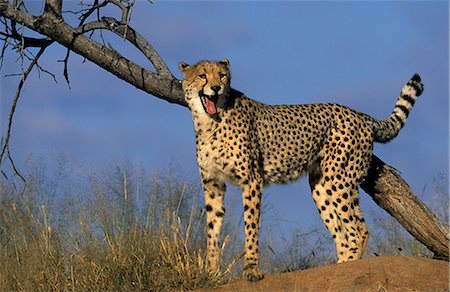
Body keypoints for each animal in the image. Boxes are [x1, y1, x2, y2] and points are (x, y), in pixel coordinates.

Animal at [178, 58, 422, 280]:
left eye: (222, 75)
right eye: (202, 75)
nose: (216, 87)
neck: (210, 122)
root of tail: (358, 114)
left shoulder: (252, 180)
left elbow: (251, 225)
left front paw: (252, 270)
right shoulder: (213, 184)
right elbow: (212, 229)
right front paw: (211, 273)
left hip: (339, 179)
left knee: (358, 230)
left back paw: (350, 268)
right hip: (321, 186)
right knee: (342, 235)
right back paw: (339, 267)